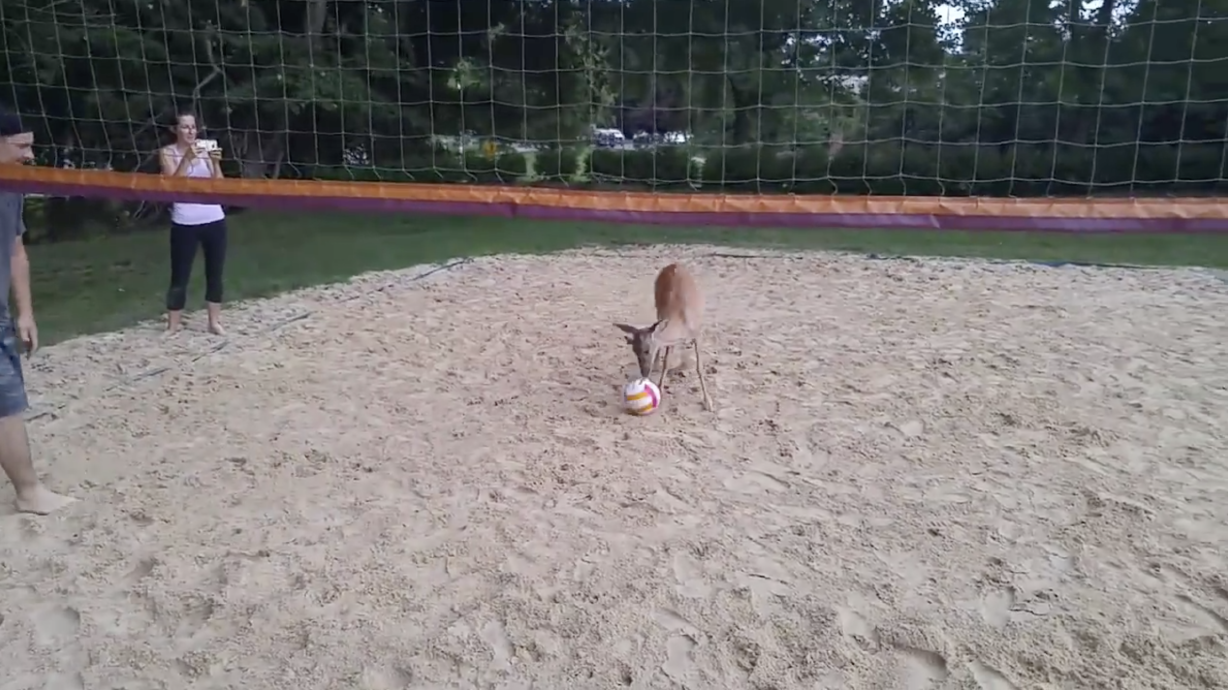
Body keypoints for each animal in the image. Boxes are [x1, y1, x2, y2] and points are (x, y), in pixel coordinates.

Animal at [615, 262, 714, 411]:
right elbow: (666, 363)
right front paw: (660, 391)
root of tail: (674, 264)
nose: (644, 373)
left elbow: (699, 367)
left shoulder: (698, 333)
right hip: (657, 304)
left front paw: (708, 402)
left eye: (646, 350)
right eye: (634, 351)